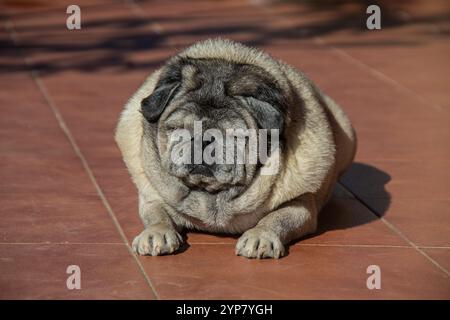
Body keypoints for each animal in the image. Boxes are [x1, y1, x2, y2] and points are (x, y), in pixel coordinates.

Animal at [115, 38, 356, 258]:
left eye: (236, 136)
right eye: (178, 129)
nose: (204, 139)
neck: (212, 198)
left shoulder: (301, 203)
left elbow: (277, 217)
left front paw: (261, 236)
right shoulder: (151, 195)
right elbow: (157, 213)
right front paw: (156, 232)